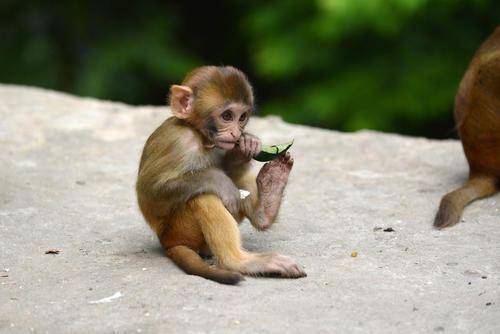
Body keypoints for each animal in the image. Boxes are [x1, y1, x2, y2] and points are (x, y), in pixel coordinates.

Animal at [136, 66, 304, 284]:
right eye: (227, 116)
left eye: (242, 117)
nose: (236, 133)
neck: (199, 136)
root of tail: (167, 241)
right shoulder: (178, 142)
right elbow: (149, 190)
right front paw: (220, 181)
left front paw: (247, 146)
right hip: (181, 229)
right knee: (204, 197)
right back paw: (240, 261)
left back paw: (269, 197)